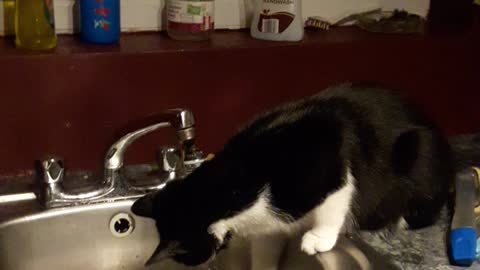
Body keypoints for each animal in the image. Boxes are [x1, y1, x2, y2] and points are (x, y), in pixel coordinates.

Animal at [131, 83, 480, 270]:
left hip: (419, 153)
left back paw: (394, 222)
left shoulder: (327, 154)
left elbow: (337, 196)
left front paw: (319, 237)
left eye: (185, 257)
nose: (206, 263)